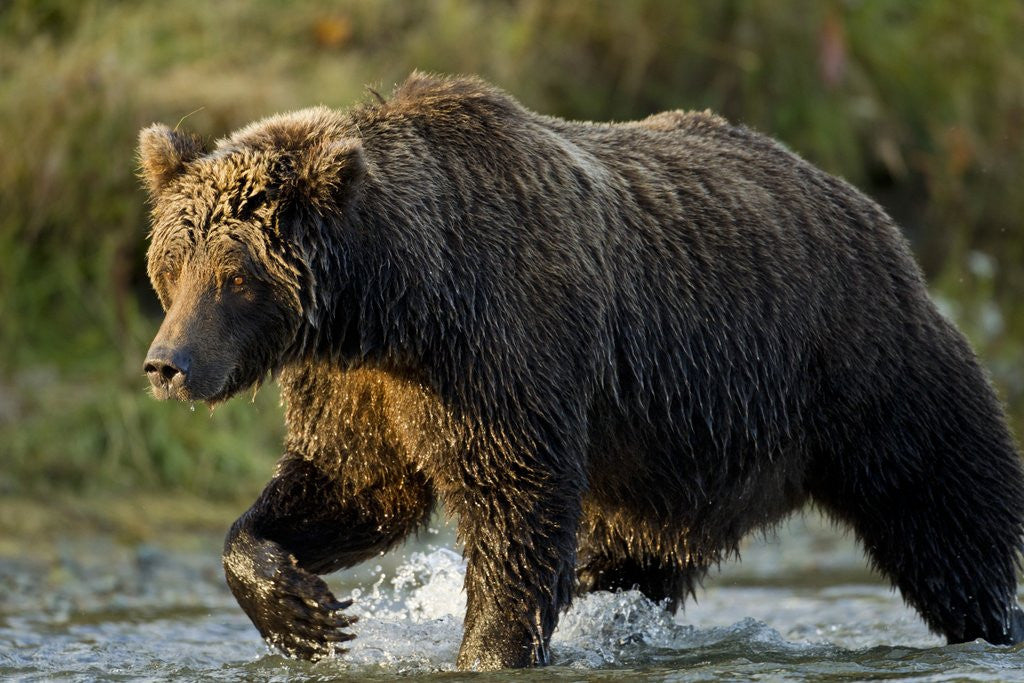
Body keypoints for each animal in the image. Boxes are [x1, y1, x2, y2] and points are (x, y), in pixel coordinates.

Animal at [139, 72, 1024, 670]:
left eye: (234, 273)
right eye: (172, 263)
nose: (166, 365)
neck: (397, 302)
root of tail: (869, 211)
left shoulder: (501, 351)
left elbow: (513, 507)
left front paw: (488, 647)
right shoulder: (358, 384)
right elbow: (351, 485)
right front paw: (303, 607)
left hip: (868, 372)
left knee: (948, 520)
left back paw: (992, 624)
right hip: (673, 463)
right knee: (630, 557)